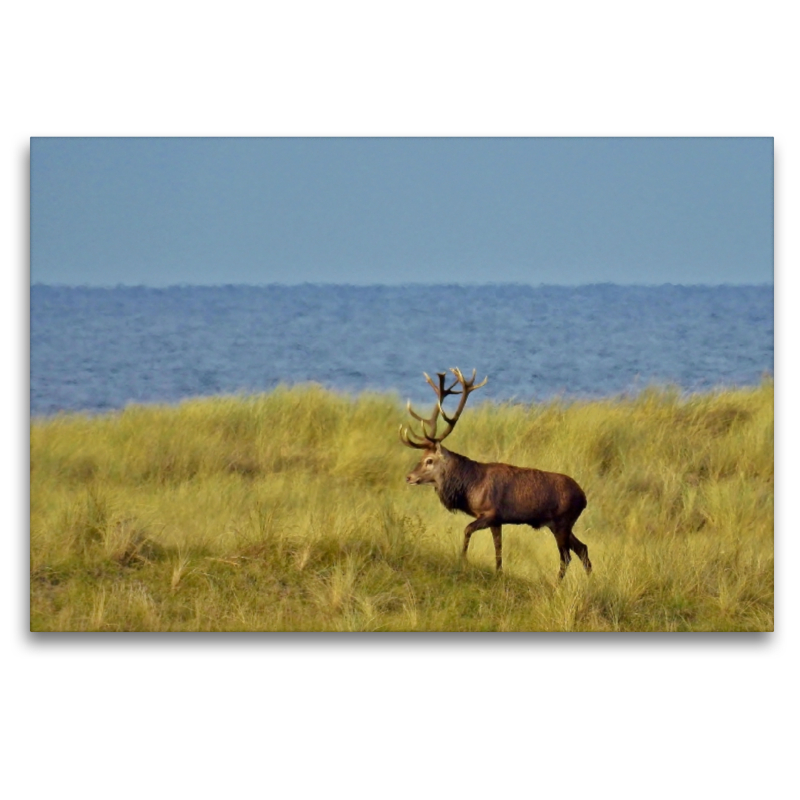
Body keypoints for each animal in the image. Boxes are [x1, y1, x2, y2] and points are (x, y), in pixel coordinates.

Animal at [404, 368, 592, 580]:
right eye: (421, 457)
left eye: (429, 460)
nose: (409, 477)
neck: (470, 487)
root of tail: (584, 498)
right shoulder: (498, 520)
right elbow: (498, 550)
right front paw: (498, 572)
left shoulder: (491, 512)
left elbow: (467, 530)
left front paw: (463, 560)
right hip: (559, 524)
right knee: (582, 548)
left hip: (563, 521)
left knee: (566, 556)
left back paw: (557, 583)